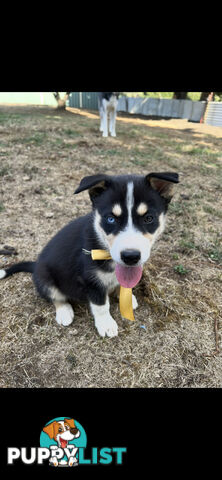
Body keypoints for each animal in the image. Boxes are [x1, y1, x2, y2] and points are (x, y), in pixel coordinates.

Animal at [0, 172, 179, 338]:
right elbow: (101, 305)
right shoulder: (91, 281)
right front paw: (106, 324)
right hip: (45, 278)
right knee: (55, 297)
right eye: (111, 219)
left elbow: (122, 284)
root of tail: (35, 265)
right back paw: (64, 311)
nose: (130, 257)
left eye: (149, 218)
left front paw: (126, 297)